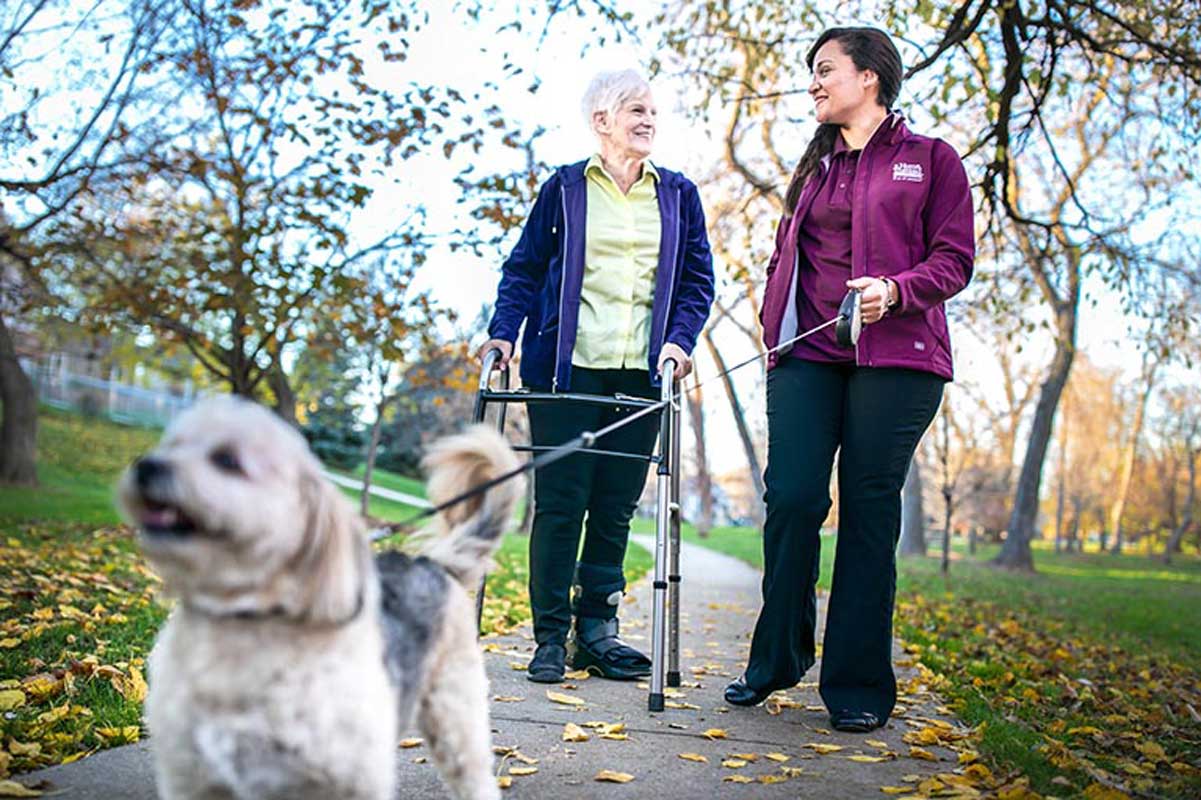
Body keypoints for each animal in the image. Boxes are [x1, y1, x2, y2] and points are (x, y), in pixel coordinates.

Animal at [114, 396, 518, 792]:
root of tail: (430, 563)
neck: (245, 627)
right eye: (172, 444)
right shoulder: (193, 777)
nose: (145, 466)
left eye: (227, 460)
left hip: (454, 718)